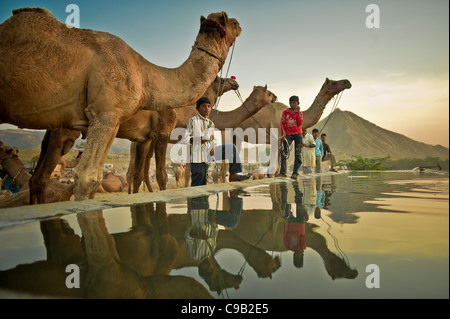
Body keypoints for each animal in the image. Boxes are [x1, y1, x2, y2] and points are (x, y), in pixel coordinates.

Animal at [0, 8, 241, 201]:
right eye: (229, 22)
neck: (146, 76)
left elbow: (136, 174)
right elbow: (97, 177)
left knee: (39, 177)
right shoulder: (118, 117)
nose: (235, 82)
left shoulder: (142, 137)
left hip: (58, 127)